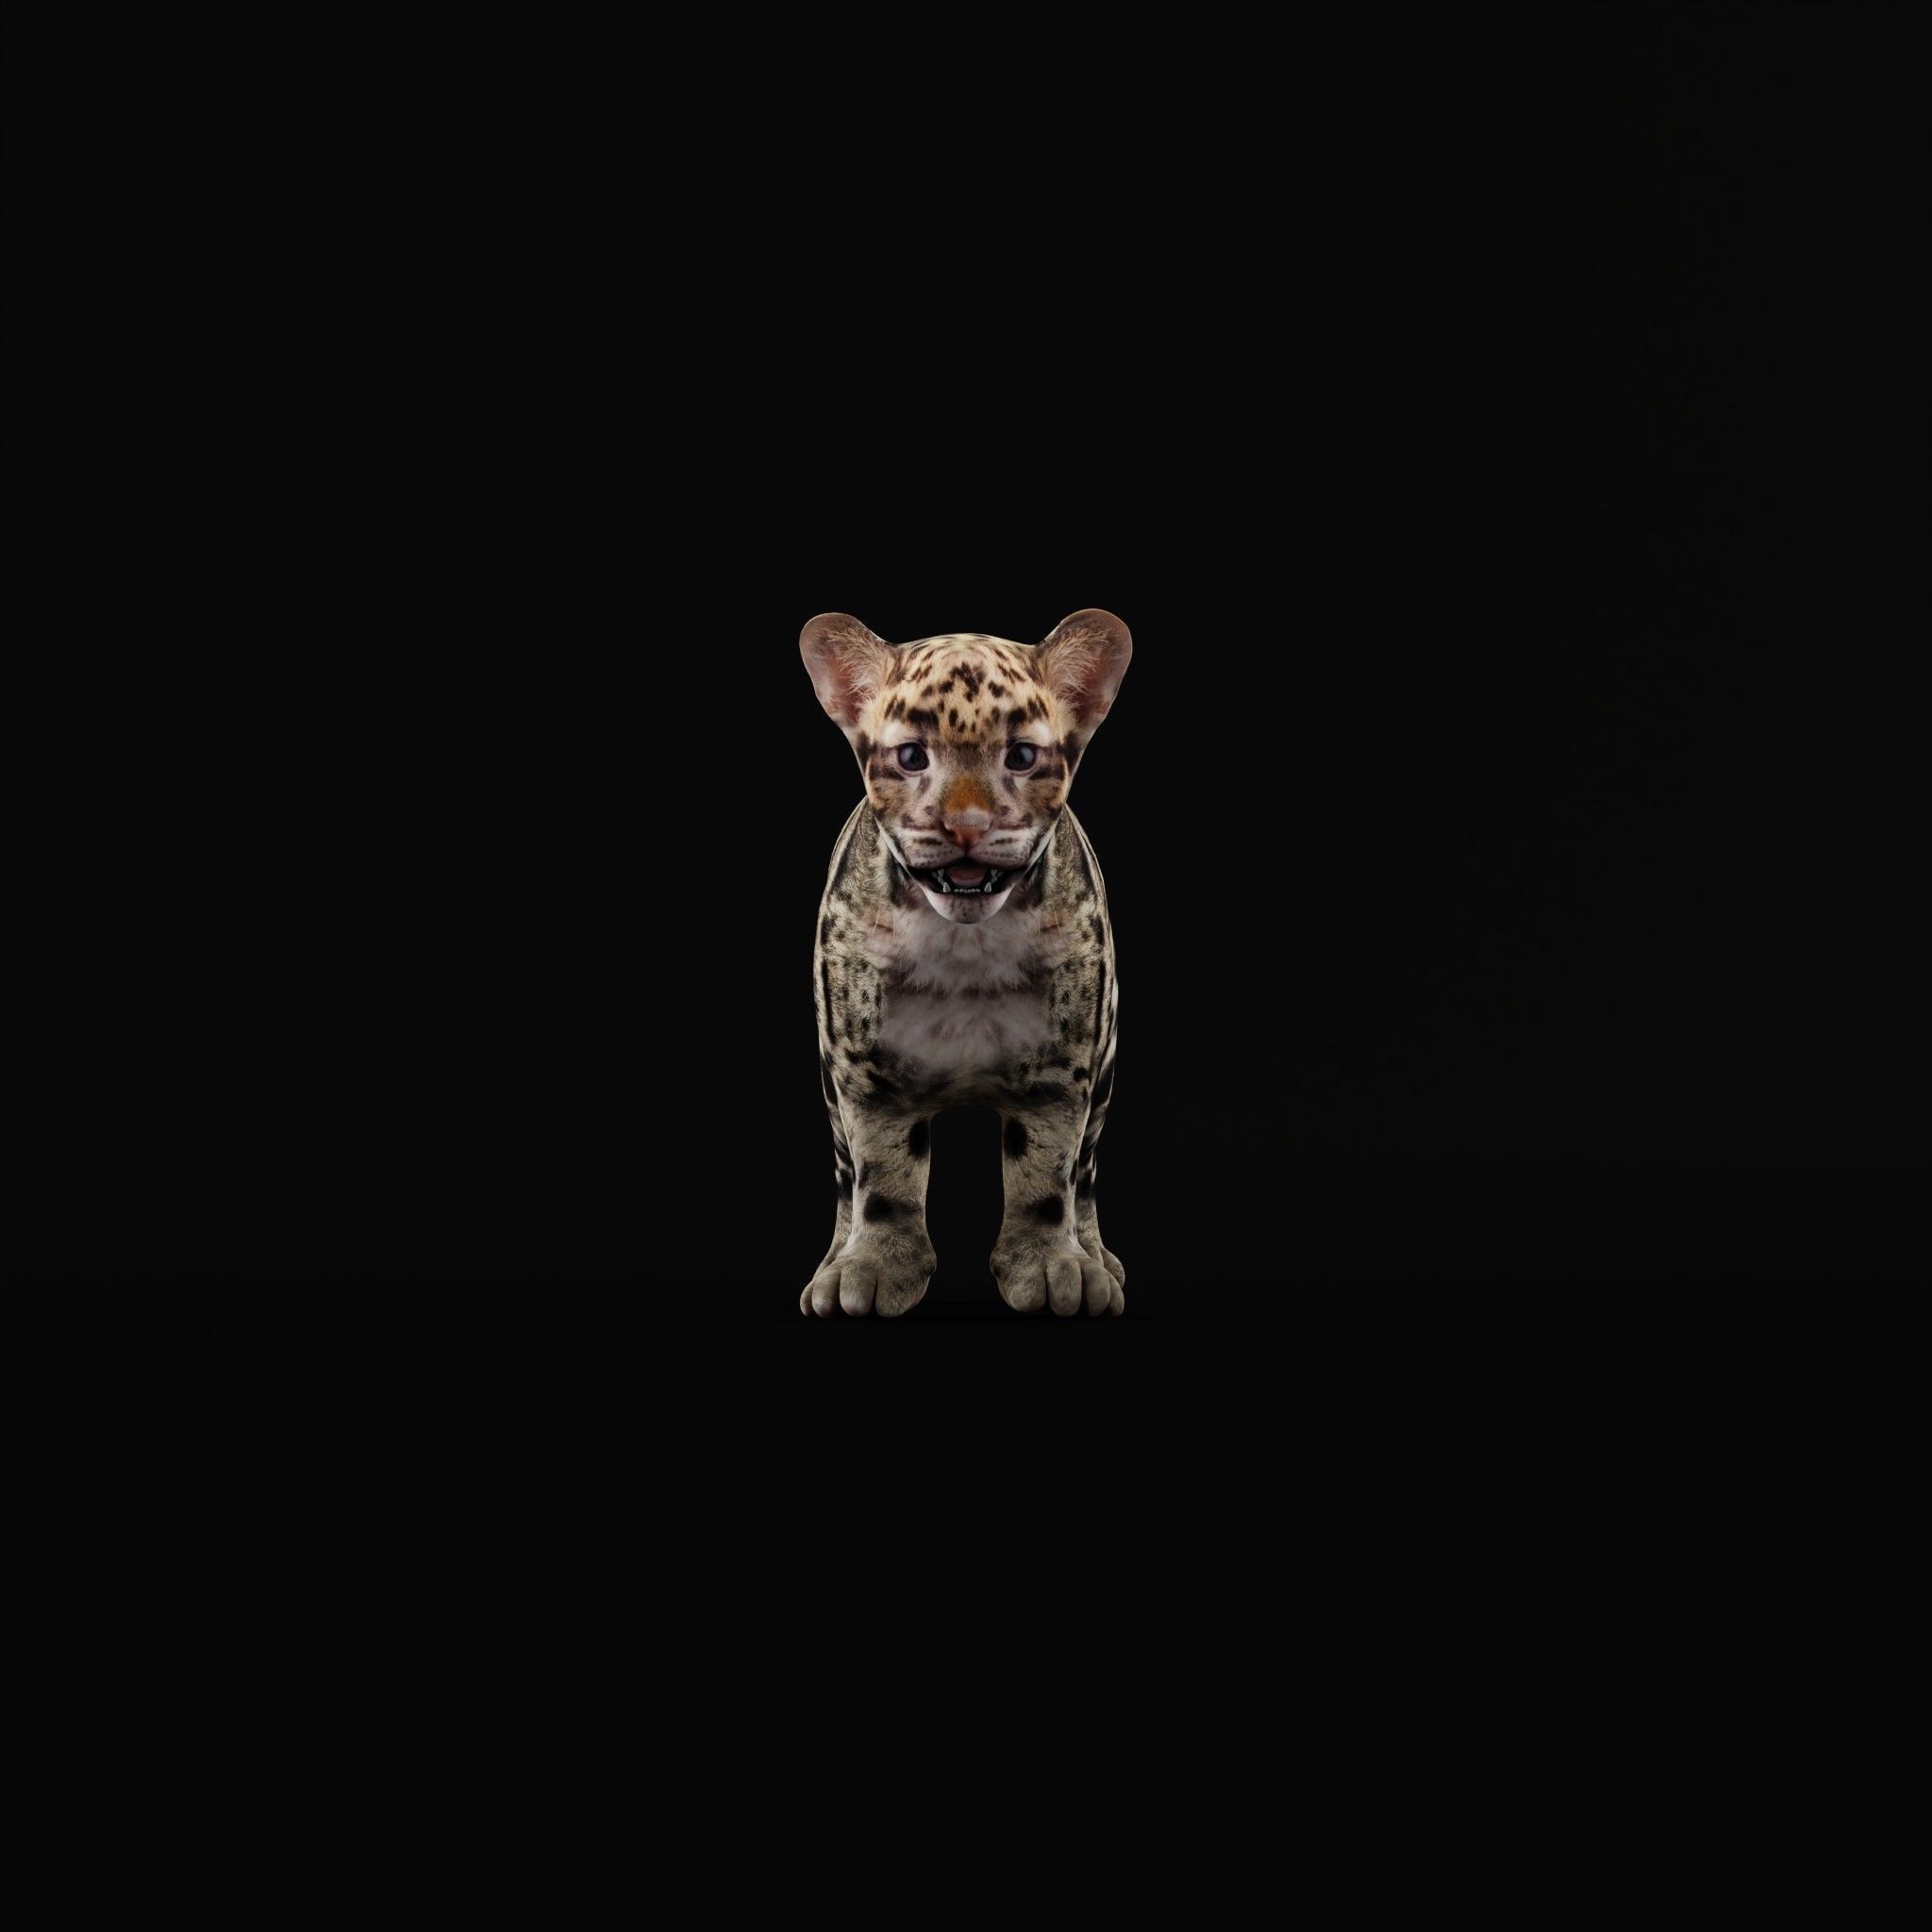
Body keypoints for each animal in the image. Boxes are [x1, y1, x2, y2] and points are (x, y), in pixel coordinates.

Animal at [799, 608, 1133, 1319]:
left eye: (1023, 756)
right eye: (911, 757)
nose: (967, 826)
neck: (964, 948)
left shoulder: (1062, 1067)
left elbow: (1048, 1176)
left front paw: (1053, 1269)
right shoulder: (865, 1068)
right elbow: (881, 1176)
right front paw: (872, 1268)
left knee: (1087, 1172)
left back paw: (1098, 1258)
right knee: (844, 1174)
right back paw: (832, 1261)